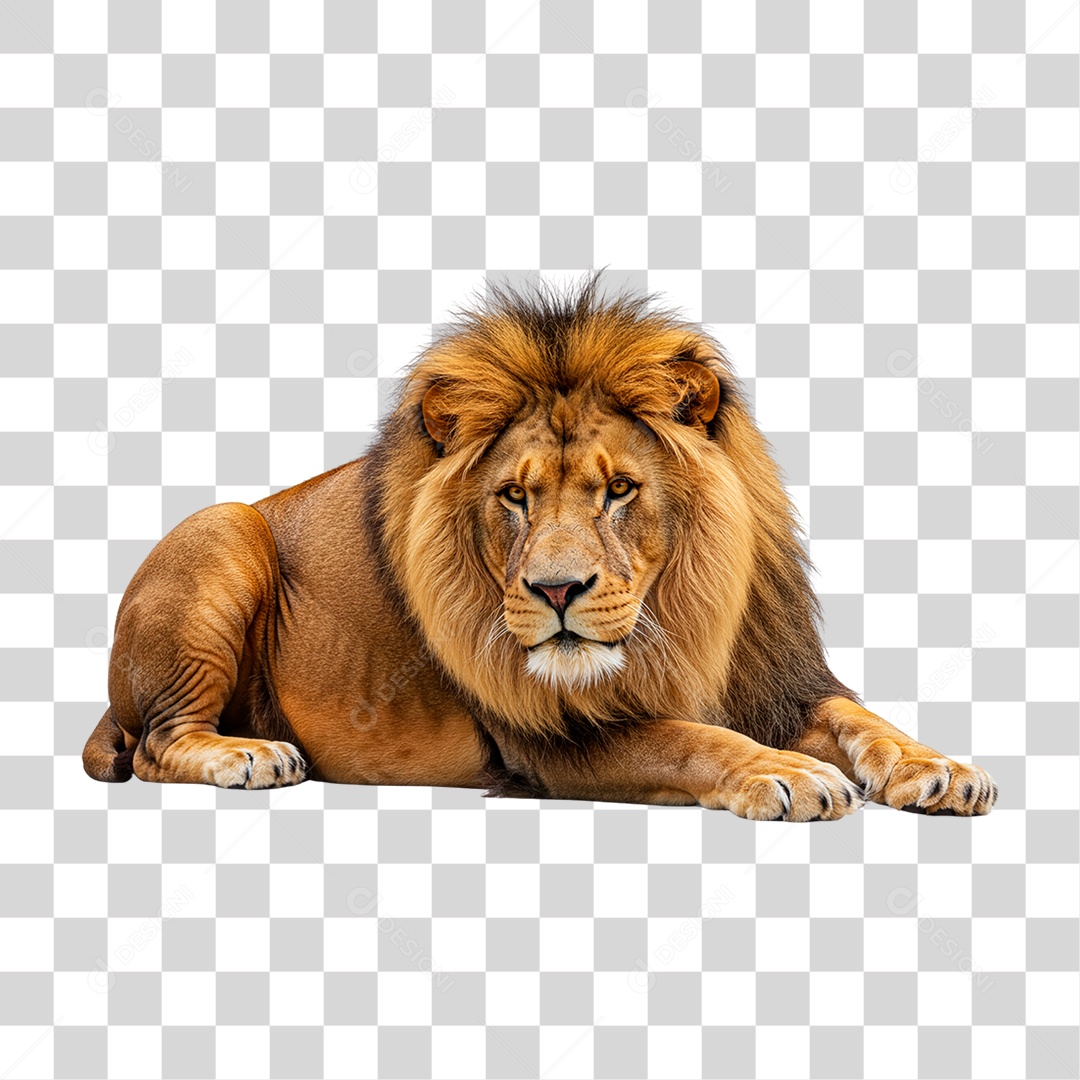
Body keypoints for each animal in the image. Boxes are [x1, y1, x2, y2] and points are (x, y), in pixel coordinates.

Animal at [82, 274, 997, 820]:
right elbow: (689, 740)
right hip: (220, 530)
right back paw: (250, 754)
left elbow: (862, 717)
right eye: (515, 498)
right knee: (158, 744)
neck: (684, 624)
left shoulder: (779, 679)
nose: (557, 592)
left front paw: (940, 767)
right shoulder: (554, 740)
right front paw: (790, 774)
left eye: (619, 490)